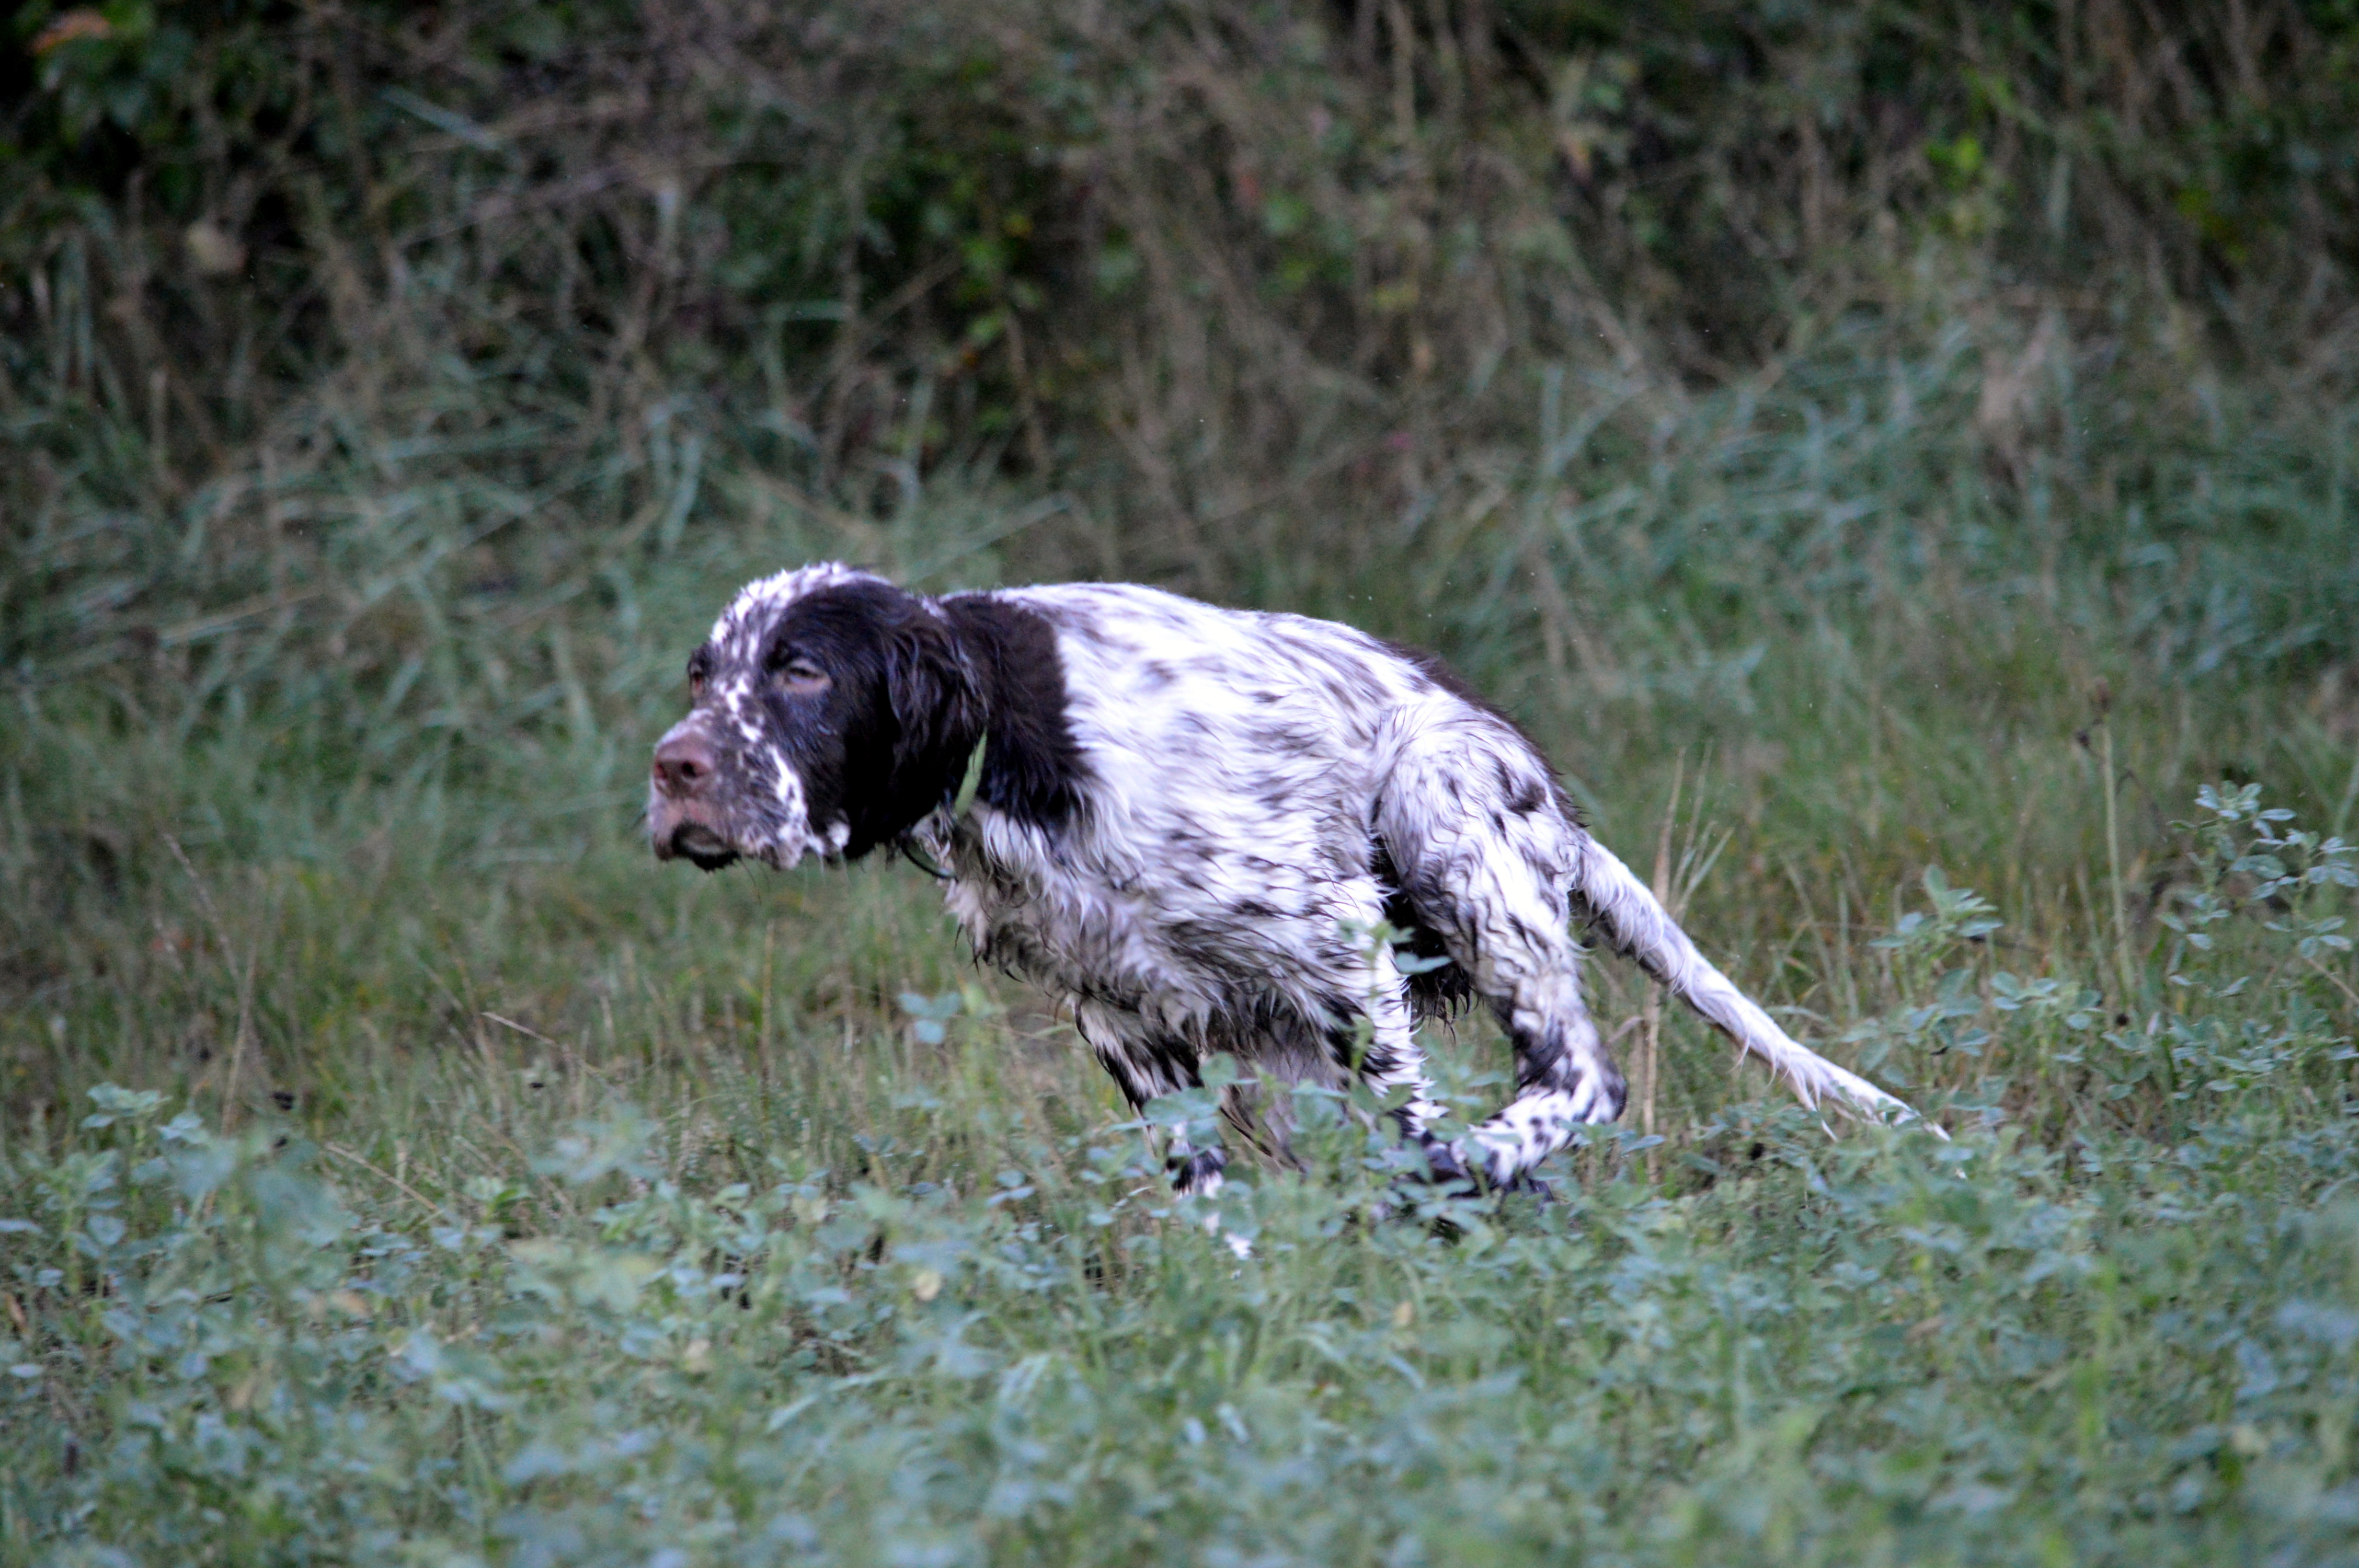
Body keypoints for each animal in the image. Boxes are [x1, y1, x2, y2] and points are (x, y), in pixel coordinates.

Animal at [647, 563, 1920, 1194]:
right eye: (704, 674)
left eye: (804, 671)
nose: (671, 769)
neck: (1016, 741)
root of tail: (1553, 806)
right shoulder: (1123, 1021)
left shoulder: (1336, 948)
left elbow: (1414, 1142)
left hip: (1436, 807)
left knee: (1574, 1077)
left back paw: (1487, 1164)